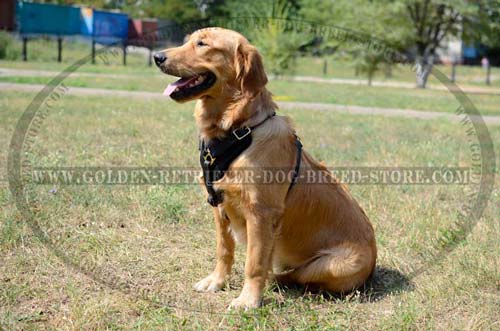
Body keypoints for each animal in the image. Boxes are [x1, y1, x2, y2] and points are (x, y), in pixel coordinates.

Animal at [154, 27, 376, 310]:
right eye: (188, 41)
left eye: (202, 44)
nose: (157, 57)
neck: (238, 131)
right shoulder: (218, 204)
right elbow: (223, 249)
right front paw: (216, 281)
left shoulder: (260, 213)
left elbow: (255, 263)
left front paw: (248, 299)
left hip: (332, 265)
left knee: (291, 275)